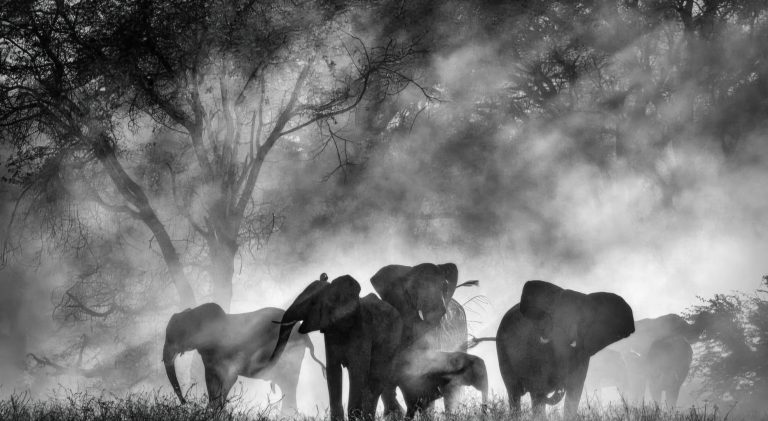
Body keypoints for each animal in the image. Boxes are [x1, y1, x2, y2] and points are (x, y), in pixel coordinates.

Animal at [162, 303, 325, 411]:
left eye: (176, 336)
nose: (186, 403)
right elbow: (215, 380)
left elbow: (223, 378)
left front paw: (213, 411)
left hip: (291, 354)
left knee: (289, 384)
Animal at [270, 274, 402, 421]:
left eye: (313, 303)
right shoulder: (330, 331)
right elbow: (333, 371)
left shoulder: (362, 329)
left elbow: (358, 371)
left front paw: (355, 417)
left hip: (392, 340)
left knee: (376, 379)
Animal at [496, 280, 635, 418]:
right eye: (552, 317)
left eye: (582, 320)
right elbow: (538, 389)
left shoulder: (582, 354)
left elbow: (574, 392)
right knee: (514, 393)